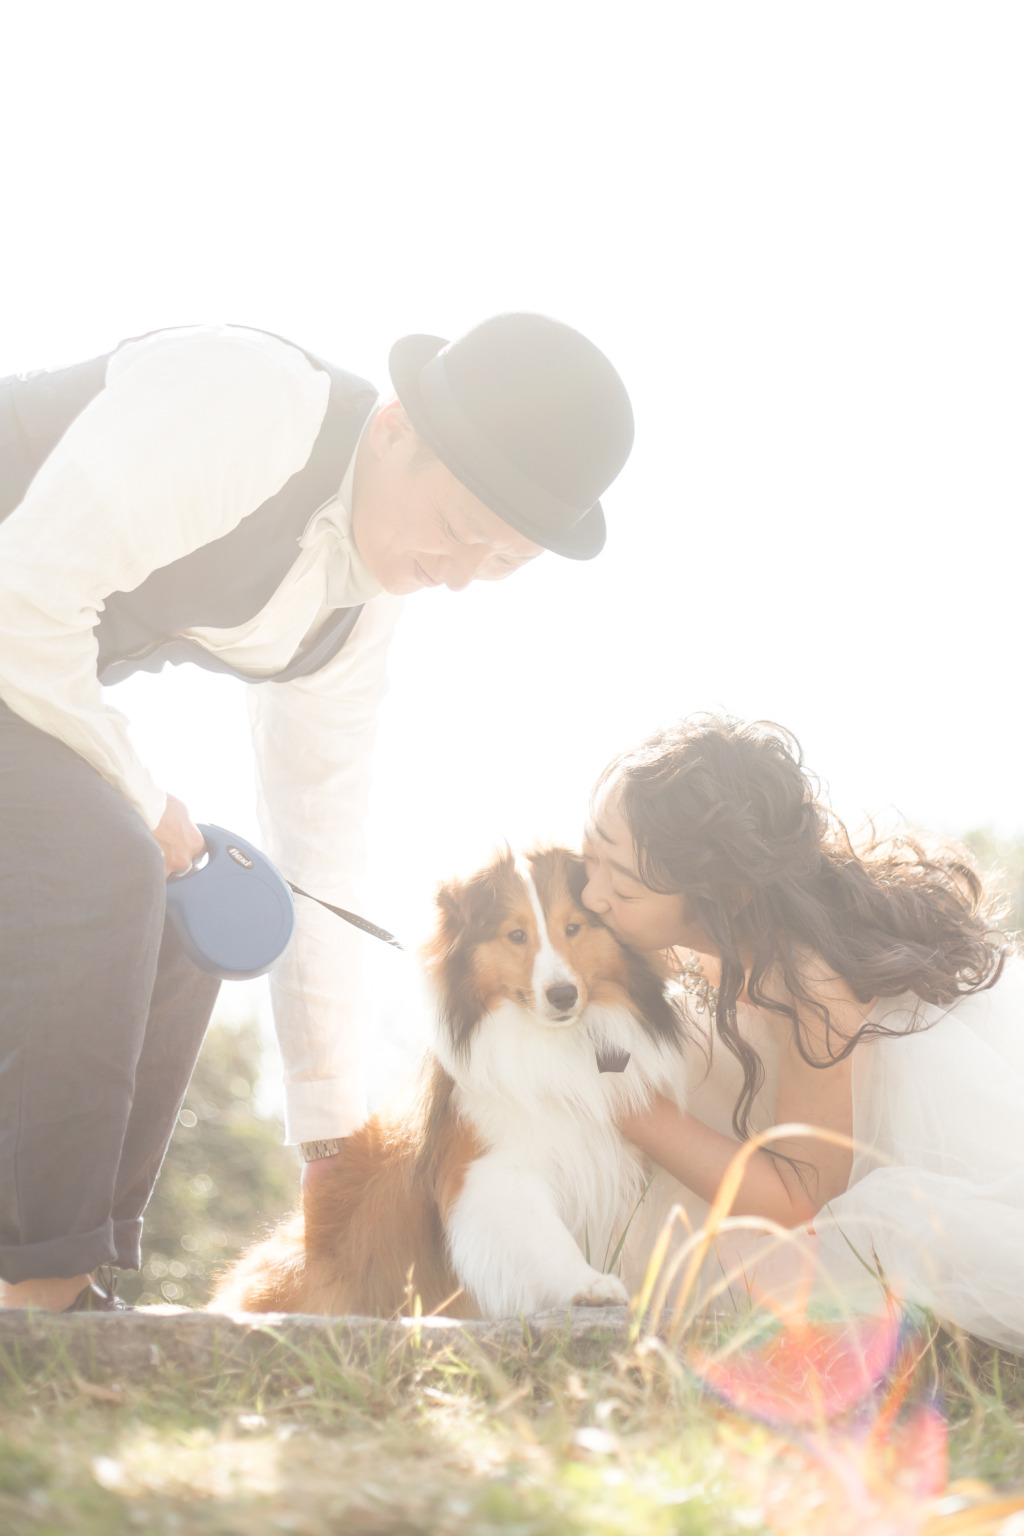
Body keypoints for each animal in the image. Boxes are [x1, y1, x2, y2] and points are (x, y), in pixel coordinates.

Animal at [208, 841, 687, 1320]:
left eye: (573, 928)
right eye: (516, 935)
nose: (563, 995)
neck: (546, 1038)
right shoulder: (491, 1169)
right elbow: (548, 1238)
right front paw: (587, 1284)